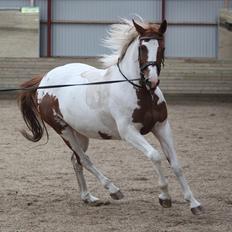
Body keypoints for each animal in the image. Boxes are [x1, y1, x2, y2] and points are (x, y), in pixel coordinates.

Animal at [18, 18, 203, 214]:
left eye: (162, 47)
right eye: (141, 47)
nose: (151, 80)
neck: (138, 90)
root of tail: (44, 79)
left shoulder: (162, 127)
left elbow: (176, 164)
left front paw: (194, 203)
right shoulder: (129, 132)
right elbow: (155, 155)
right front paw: (165, 197)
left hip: (80, 133)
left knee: (76, 160)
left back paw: (88, 197)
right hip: (64, 130)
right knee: (85, 160)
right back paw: (113, 190)